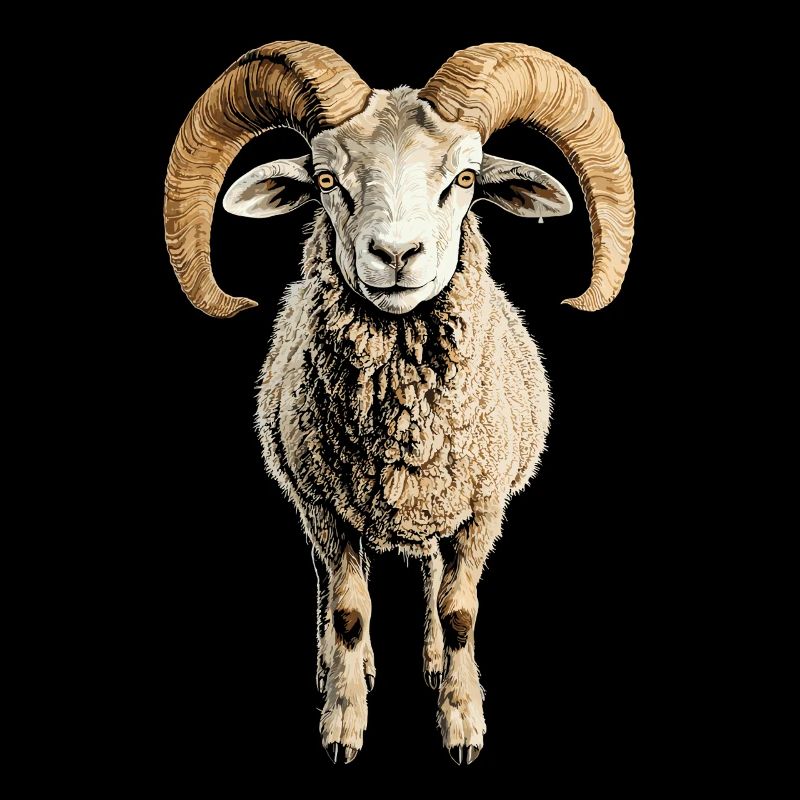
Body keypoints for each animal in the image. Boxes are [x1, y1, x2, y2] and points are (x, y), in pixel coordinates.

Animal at [164, 41, 634, 765]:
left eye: (465, 178)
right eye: (326, 179)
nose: (394, 254)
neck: (405, 432)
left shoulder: (481, 509)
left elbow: (460, 611)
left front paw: (463, 723)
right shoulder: (326, 506)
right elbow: (351, 612)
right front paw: (342, 723)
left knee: (434, 580)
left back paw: (435, 663)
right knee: (333, 587)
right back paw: (342, 667)